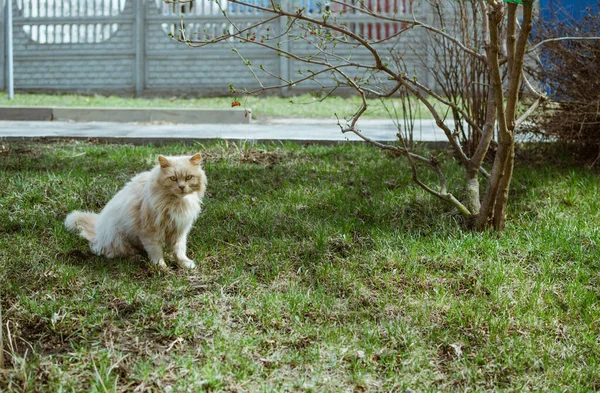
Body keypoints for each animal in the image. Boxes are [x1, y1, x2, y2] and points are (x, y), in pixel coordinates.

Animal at [64, 153, 207, 270]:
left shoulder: (179, 229)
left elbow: (179, 250)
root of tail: (97, 232)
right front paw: (161, 267)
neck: (176, 202)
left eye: (188, 177)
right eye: (173, 178)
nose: (182, 187)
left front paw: (185, 264)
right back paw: (138, 259)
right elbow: (156, 251)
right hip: (119, 239)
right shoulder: (150, 231)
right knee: (118, 254)